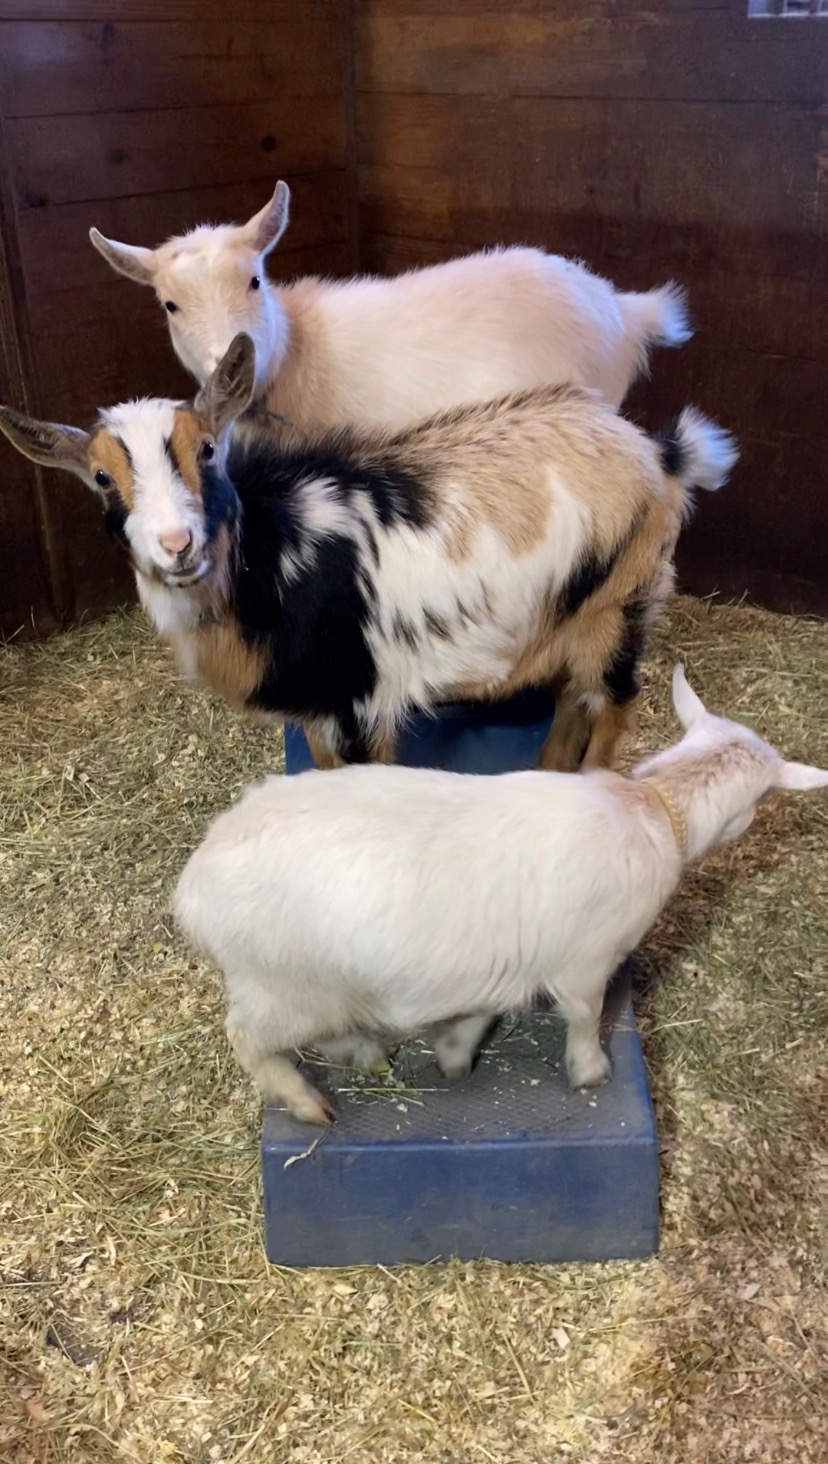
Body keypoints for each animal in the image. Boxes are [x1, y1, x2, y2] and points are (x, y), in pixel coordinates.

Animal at [0, 334, 736, 773]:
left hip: (620, 602)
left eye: (207, 449)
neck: (271, 557)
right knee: (569, 699)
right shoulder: (320, 711)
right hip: (564, 614)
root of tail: (656, 452)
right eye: (101, 478)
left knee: (612, 703)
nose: (177, 545)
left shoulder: (360, 699)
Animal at [172, 665, 828, 1125]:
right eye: (761, 802)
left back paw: (364, 1054)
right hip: (286, 983)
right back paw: (307, 1100)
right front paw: (590, 1072)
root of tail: (194, 885)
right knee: (246, 1037)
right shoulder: (585, 961)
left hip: (309, 985)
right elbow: (585, 1017)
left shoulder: (507, 954)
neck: (653, 809)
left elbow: (485, 1008)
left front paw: (454, 1053)